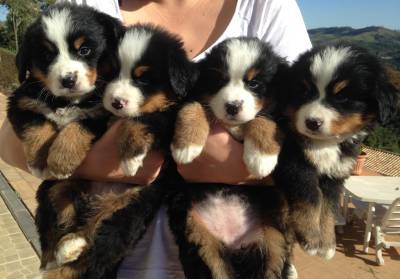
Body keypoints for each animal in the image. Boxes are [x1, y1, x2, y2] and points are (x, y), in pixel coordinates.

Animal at [7, 2, 121, 179]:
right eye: (47, 56)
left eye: (84, 50)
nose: (68, 80)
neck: (65, 102)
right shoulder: (20, 103)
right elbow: (37, 126)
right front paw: (39, 162)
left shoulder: (99, 113)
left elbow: (78, 127)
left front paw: (61, 162)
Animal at [169, 38, 296, 279]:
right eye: (219, 80)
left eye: (254, 84)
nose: (232, 107)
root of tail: (235, 243)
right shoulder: (192, 97)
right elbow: (193, 106)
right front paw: (186, 147)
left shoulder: (282, 116)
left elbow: (264, 119)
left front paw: (261, 158)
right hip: (198, 237)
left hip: (274, 238)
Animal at [276, 43, 400, 260]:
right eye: (304, 91)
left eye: (342, 96)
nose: (312, 122)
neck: (326, 144)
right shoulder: (295, 164)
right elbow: (312, 197)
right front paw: (310, 238)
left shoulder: (336, 174)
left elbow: (329, 208)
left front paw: (327, 244)